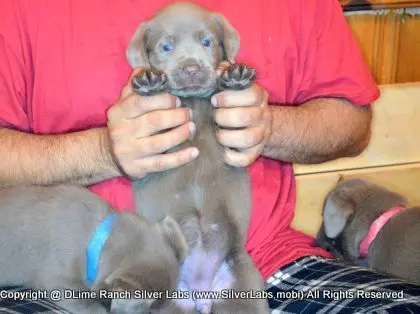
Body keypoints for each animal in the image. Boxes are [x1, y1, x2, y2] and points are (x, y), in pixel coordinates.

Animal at [126, 2, 270, 314]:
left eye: (207, 42)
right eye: (166, 46)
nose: (191, 68)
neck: (194, 103)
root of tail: (200, 291)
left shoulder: (231, 133)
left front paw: (236, 77)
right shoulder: (159, 141)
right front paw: (149, 82)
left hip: (243, 286)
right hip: (169, 303)